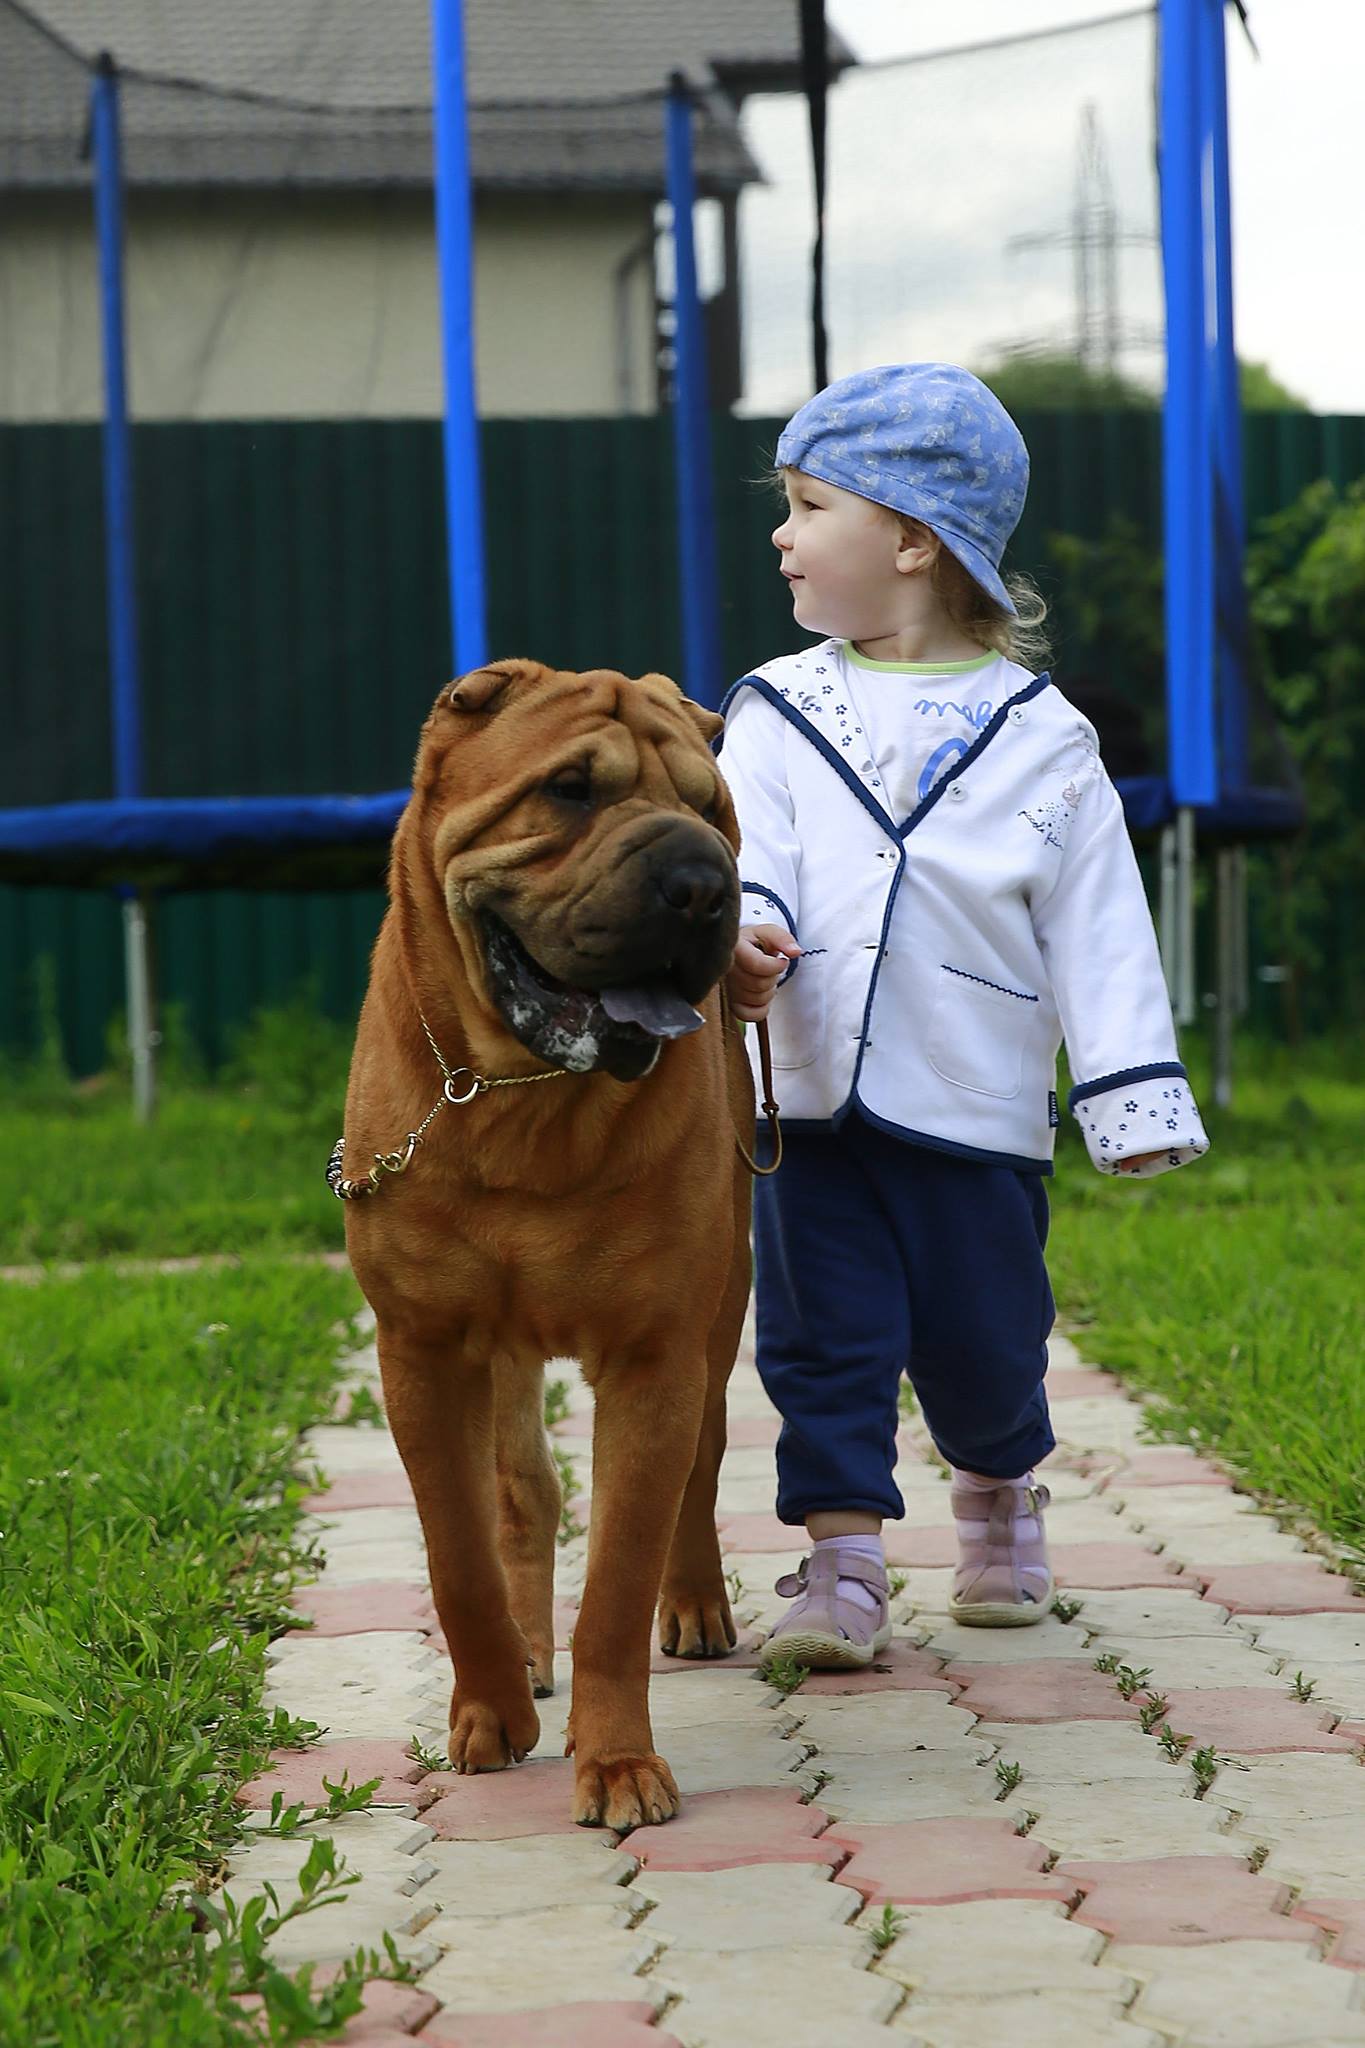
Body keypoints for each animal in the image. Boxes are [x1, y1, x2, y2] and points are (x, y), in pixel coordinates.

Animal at [339, 658, 753, 1830]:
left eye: (710, 805)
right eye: (569, 790)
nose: (702, 880)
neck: (521, 1104)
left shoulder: (656, 1355)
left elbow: (618, 1572)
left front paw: (616, 1764)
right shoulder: (422, 1351)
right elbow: (457, 1552)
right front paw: (490, 1714)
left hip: (722, 1315)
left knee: (700, 1469)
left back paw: (694, 1605)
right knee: (521, 1490)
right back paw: (527, 1655)